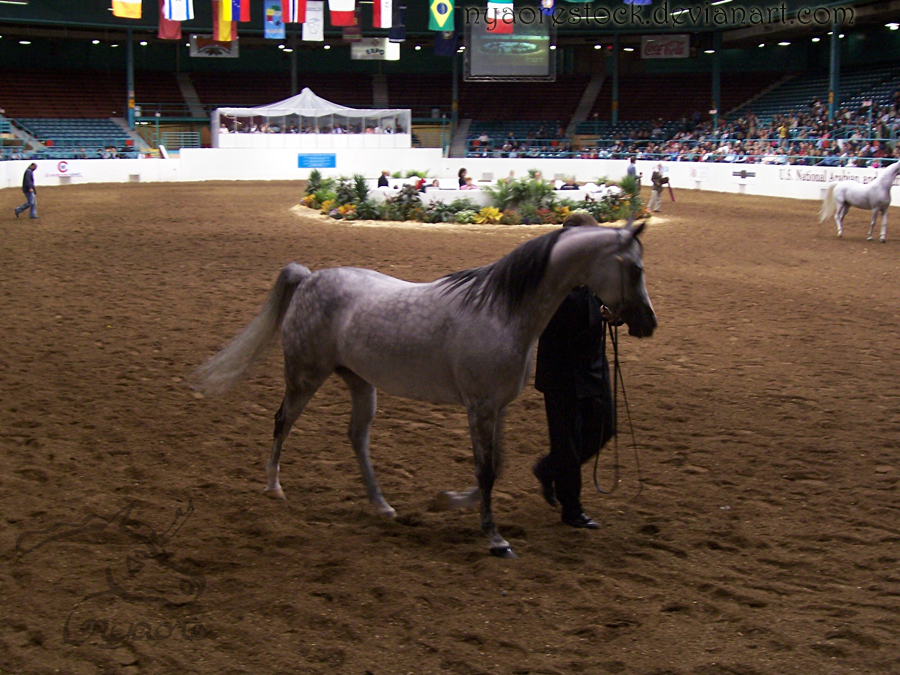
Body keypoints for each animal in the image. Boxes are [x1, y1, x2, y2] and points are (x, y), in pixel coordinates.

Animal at [193, 222, 652, 560]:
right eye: (635, 269)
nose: (648, 323)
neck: (503, 311)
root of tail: (308, 279)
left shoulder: (498, 407)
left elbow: (497, 466)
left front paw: (445, 501)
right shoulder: (479, 407)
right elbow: (486, 470)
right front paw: (494, 537)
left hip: (360, 383)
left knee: (356, 437)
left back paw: (381, 505)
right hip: (304, 376)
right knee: (282, 422)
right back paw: (273, 487)